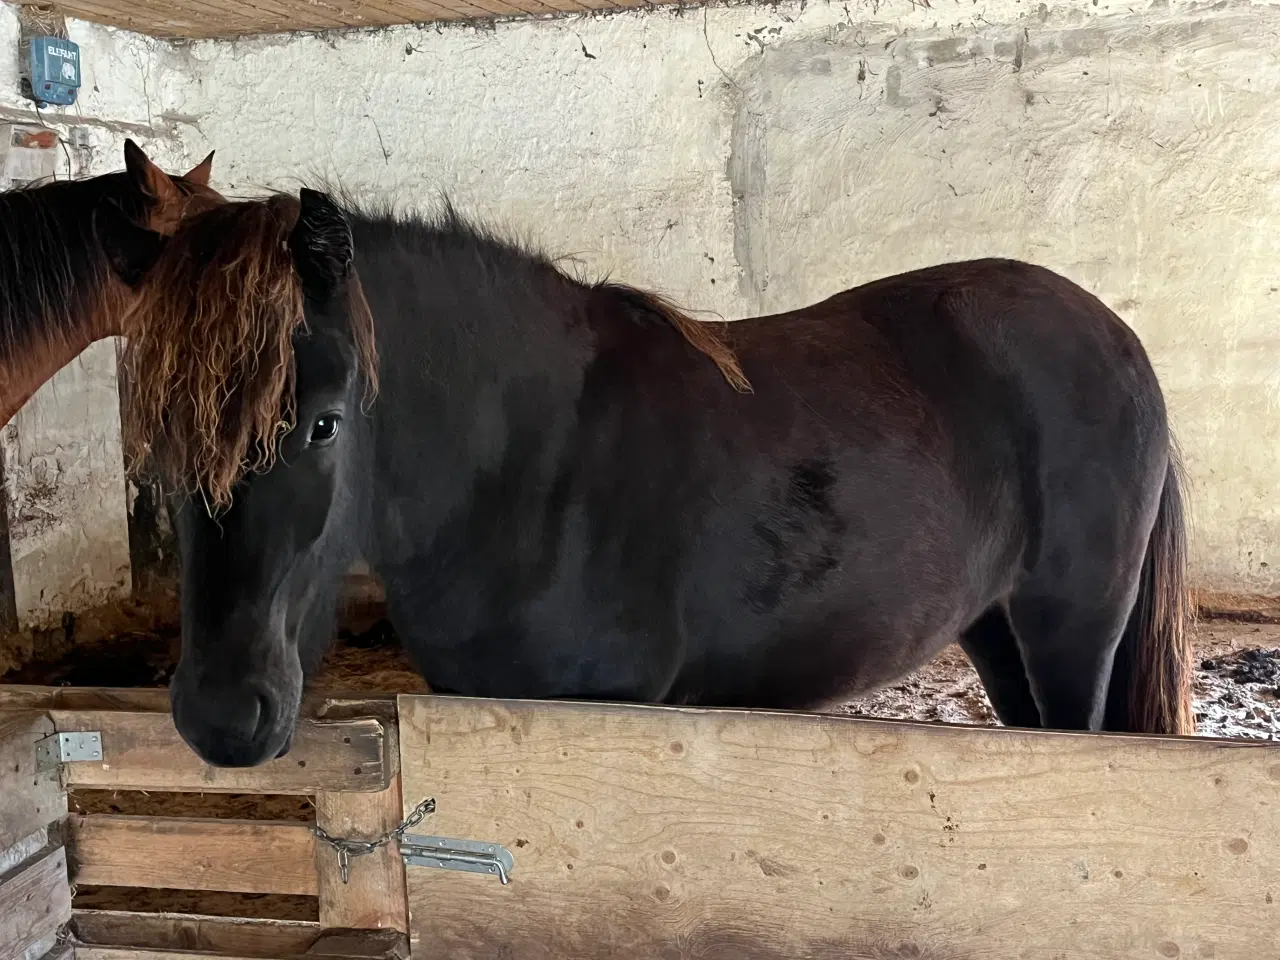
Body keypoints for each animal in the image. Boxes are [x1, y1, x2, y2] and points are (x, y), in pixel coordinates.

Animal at [104, 192, 1192, 773]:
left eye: (324, 422)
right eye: (155, 441)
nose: (220, 716)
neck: (535, 473)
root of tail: (1114, 334)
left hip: (1070, 629)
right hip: (994, 628)